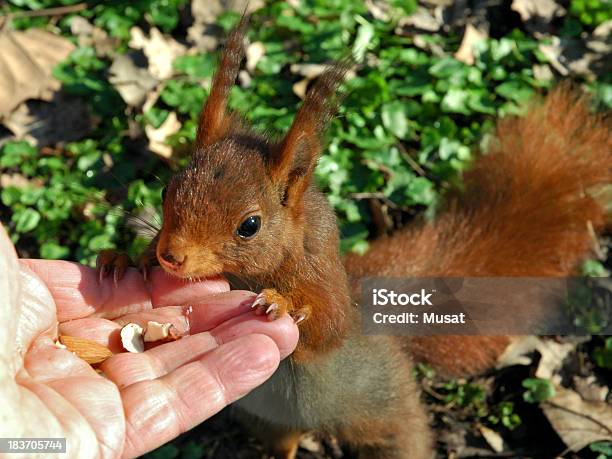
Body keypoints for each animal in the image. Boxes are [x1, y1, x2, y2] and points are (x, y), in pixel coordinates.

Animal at [98, 16, 608, 459]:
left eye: (250, 225)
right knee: (284, 443)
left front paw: (283, 303)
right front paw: (122, 260)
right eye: (166, 190)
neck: (250, 273)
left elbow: (328, 326)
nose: (171, 256)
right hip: (269, 421)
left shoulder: (323, 279)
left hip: (386, 410)